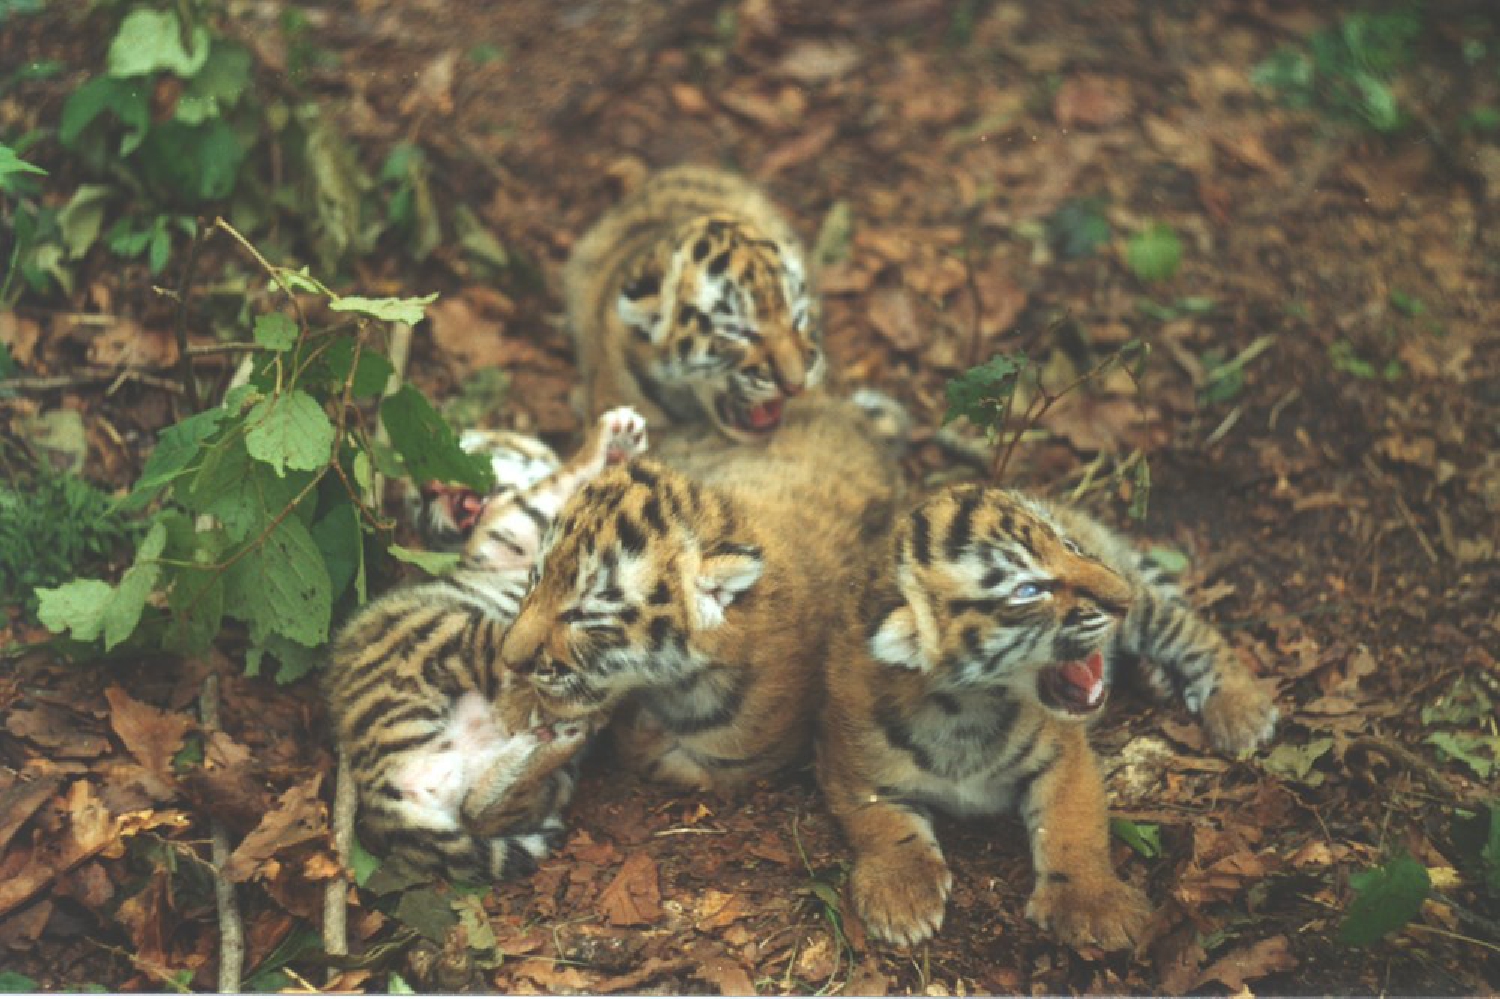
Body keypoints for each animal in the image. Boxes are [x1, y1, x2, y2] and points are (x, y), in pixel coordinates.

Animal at [324, 407, 648, 882]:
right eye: (418, 506)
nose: (429, 489)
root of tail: (379, 795)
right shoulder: (518, 524)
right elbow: (564, 479)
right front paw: (614, 436)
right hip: (460, 631)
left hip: (535, 783)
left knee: (478, 808)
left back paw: (552, 740)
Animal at [817, 484, 1279, 950]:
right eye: (1029, 590)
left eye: (1069, 548)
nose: (1121, 599)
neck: (963, 711)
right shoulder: (849, 767)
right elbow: (879, 823)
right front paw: (901, 893)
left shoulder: (1065, 756)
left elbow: (1071, 825)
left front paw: (1096, 904)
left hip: (1148, 614)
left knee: (1193, 631)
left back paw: (1241, 709)